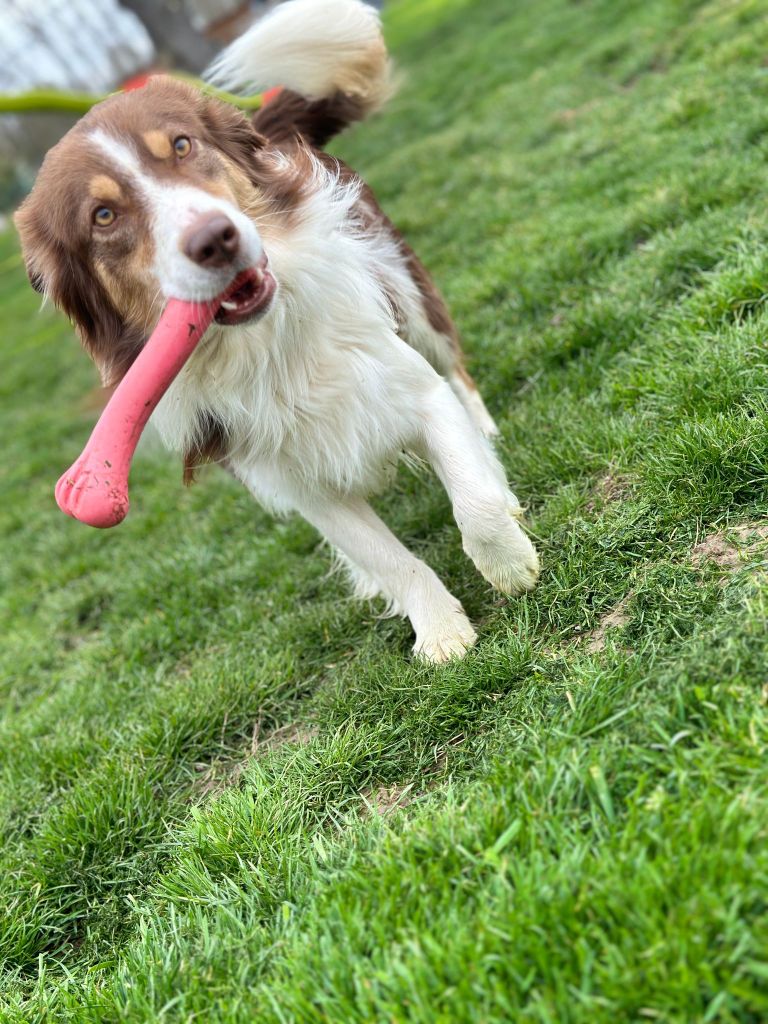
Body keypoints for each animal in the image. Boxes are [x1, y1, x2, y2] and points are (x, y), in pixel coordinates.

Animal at [13, 0, 540, 663]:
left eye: (182, 145)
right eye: (103, 216)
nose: (214, 239)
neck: (267, 343)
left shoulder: (411, 387)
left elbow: (475, 501)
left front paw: (511, 565)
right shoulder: (288, 476)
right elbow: (389, 559)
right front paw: (441, 634)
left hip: (411, 296)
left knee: (456, 371)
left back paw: (488, 439)